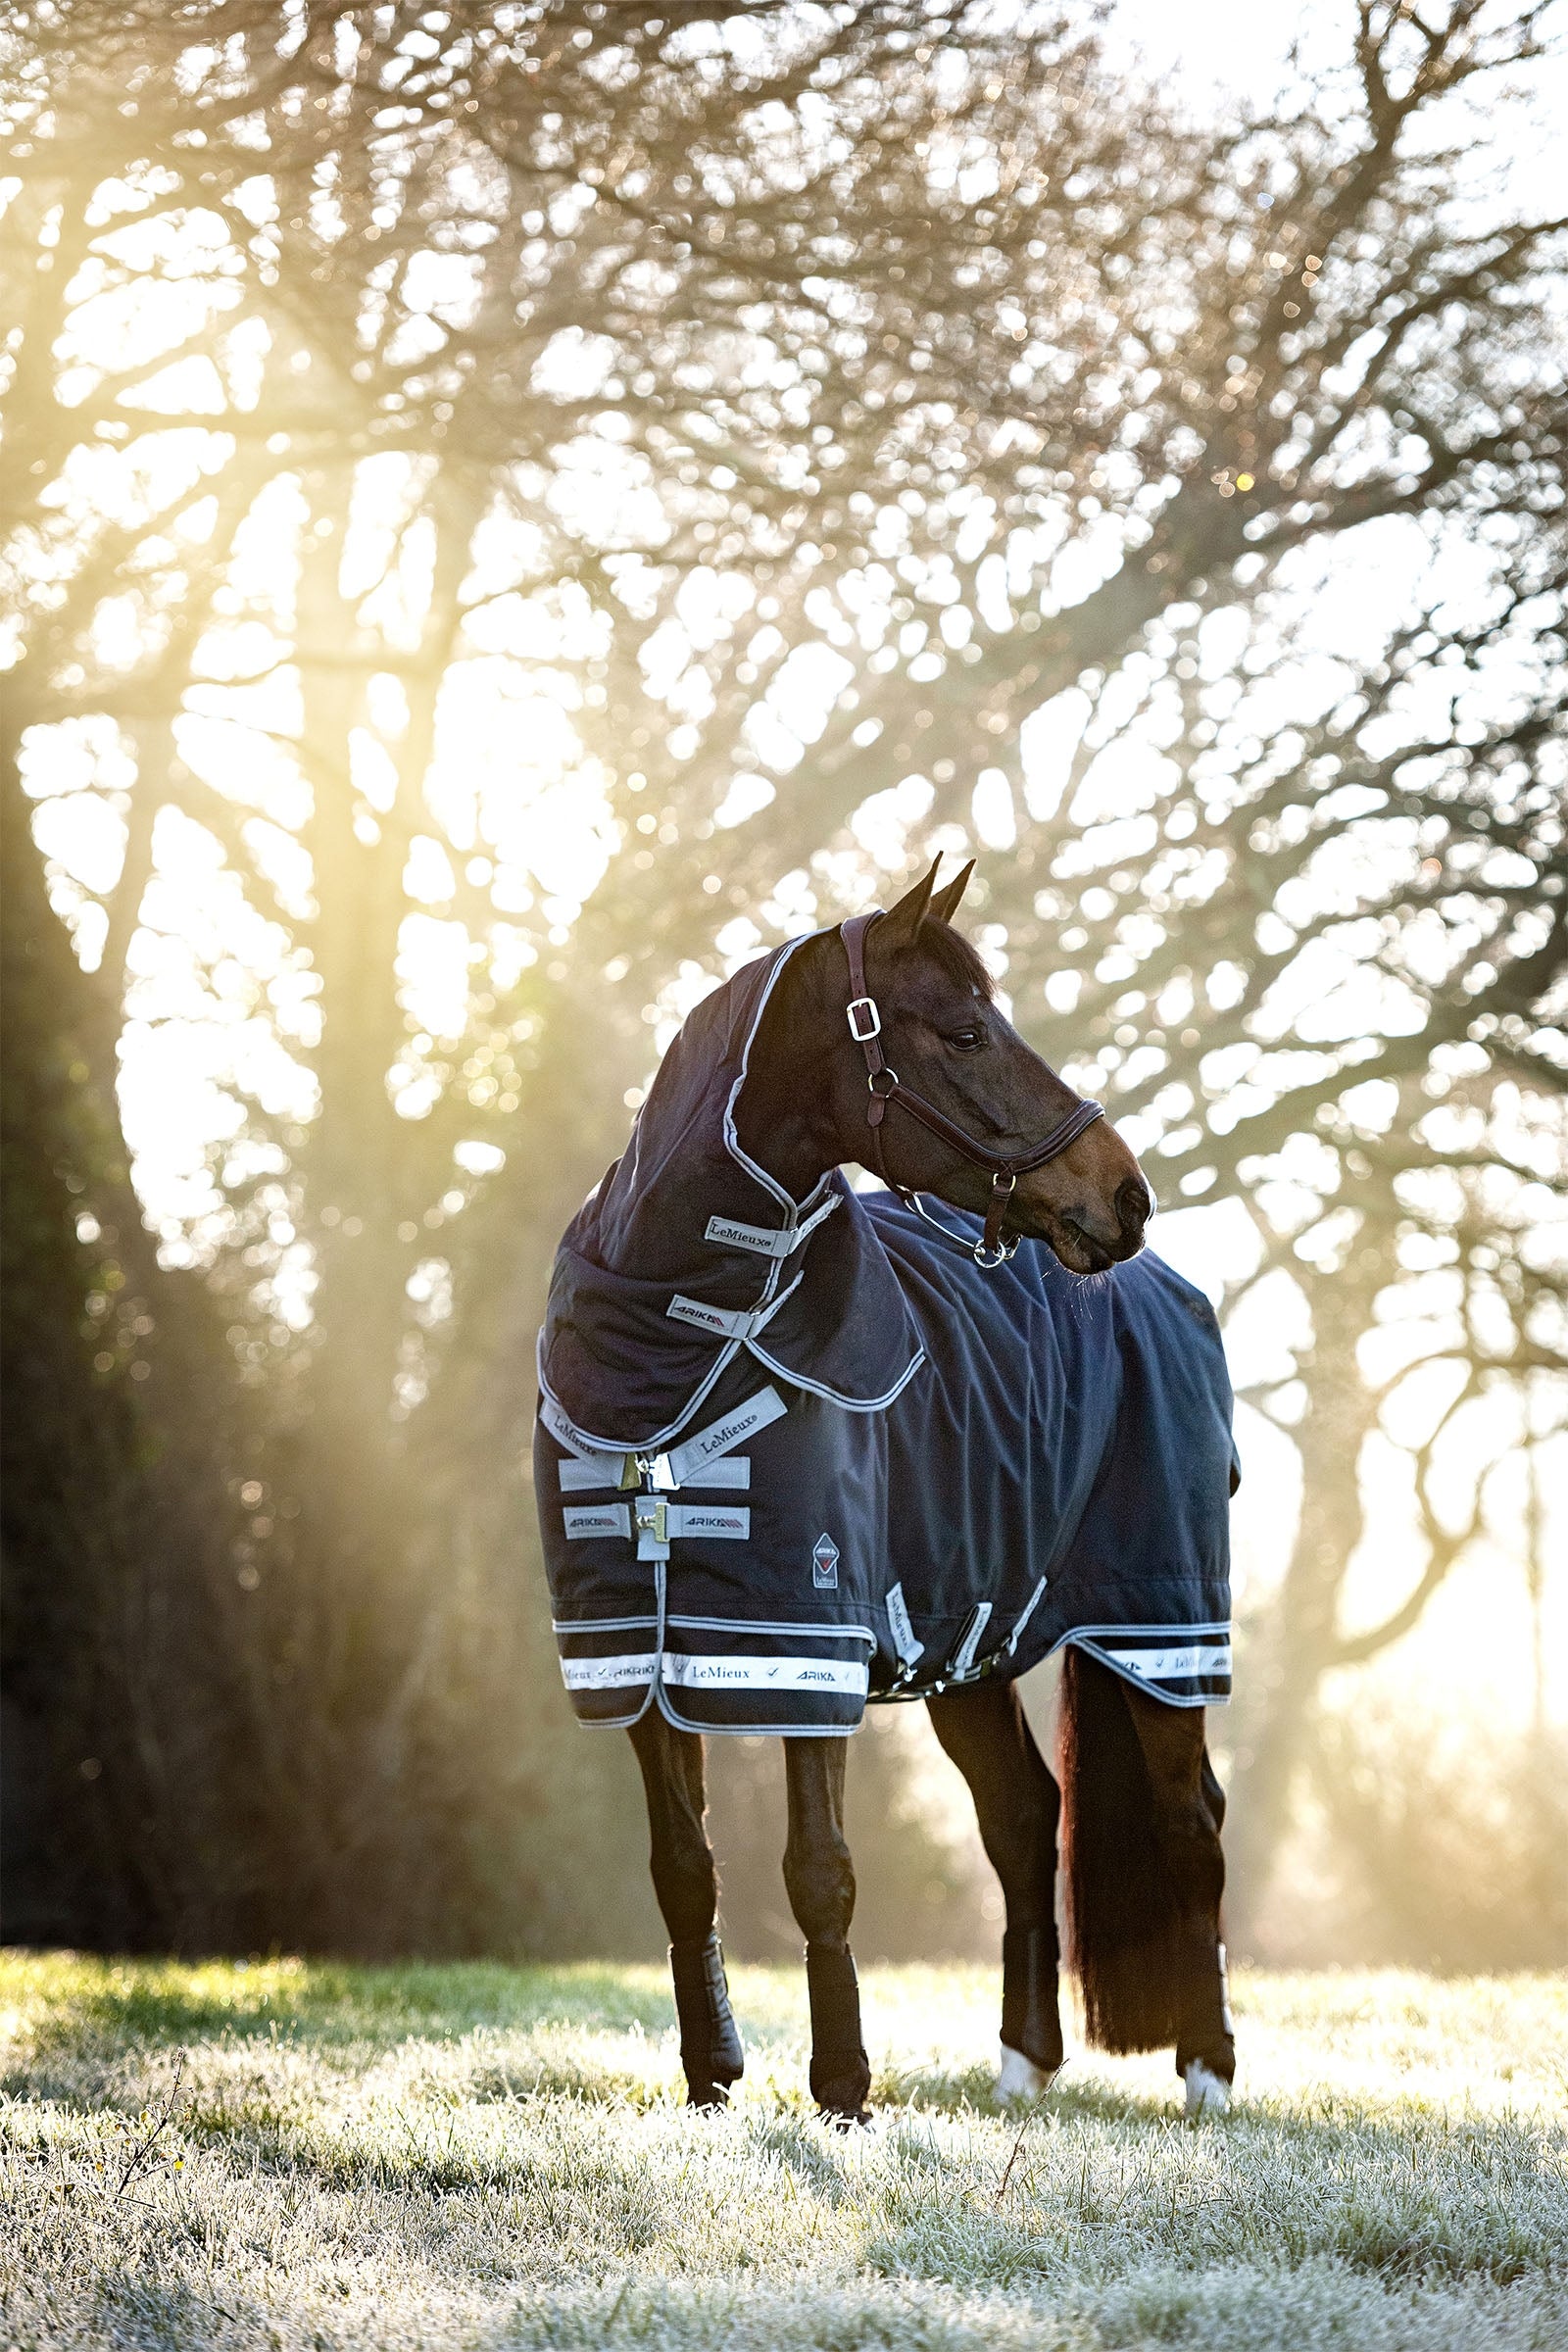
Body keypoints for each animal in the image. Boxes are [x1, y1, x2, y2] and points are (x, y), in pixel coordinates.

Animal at [534, 859, 1237, 2124]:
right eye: (963, 1031)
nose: (1126, 1194)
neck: (686, 1349)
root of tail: (1167, 1287)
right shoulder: (640, 1654)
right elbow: (683, 1870)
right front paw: (713, 2081)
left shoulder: (803, 1640)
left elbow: (819, 1871)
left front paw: (843, 2091)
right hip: (970, 1645)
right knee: (1021, 1819)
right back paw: (1023, 2063)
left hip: (1160, 1631)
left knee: (1188, 1821)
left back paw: (1206, 2069)